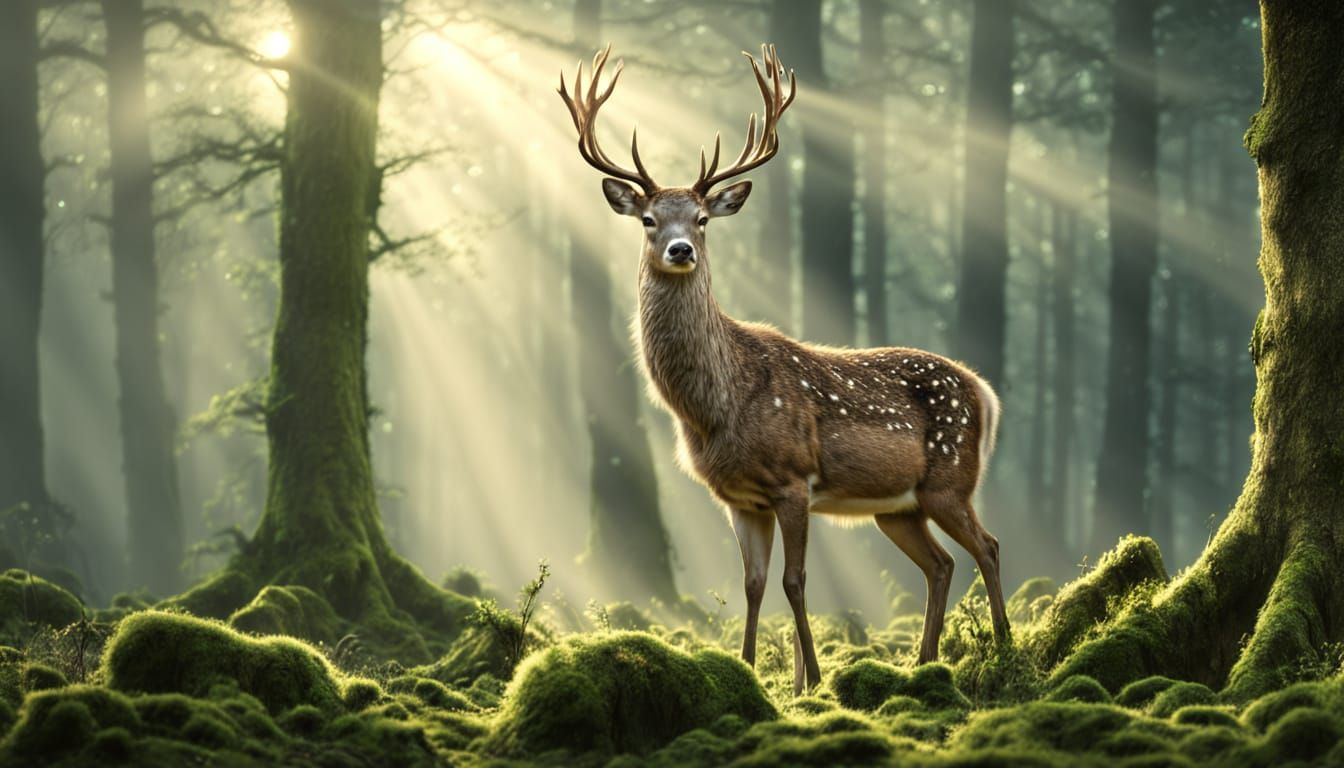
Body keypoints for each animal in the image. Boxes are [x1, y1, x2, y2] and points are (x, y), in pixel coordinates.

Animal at [559, 44, 1009, 693]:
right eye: (648, 220)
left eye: (702, 219)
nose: (680, 250)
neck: (717, 409)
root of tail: (985, 392)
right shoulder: (740, 498)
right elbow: (751, 585)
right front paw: (747, 671)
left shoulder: (794, 479)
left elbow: (794, 583)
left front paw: (814, 681)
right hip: (897, 507)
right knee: (943, 564)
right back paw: (925, 664)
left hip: (950, 479)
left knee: (988, 547)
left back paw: (1005, 652)